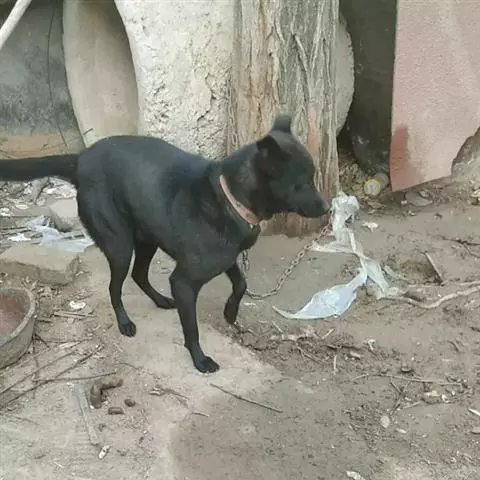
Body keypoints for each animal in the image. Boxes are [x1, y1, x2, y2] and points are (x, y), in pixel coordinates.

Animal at [0, 115, 330, 373]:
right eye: (303, 182)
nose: (327, 208)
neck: (230, 198)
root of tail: (81, 158)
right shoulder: (184, 281)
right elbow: (192, 328)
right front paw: (199, 360)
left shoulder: (226, 259)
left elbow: (241, 283)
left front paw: (230, 312)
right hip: (120, 246)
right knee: (115, 287)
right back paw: (125, 323)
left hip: (147, 239)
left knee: (139, 275)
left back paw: (160, 300)